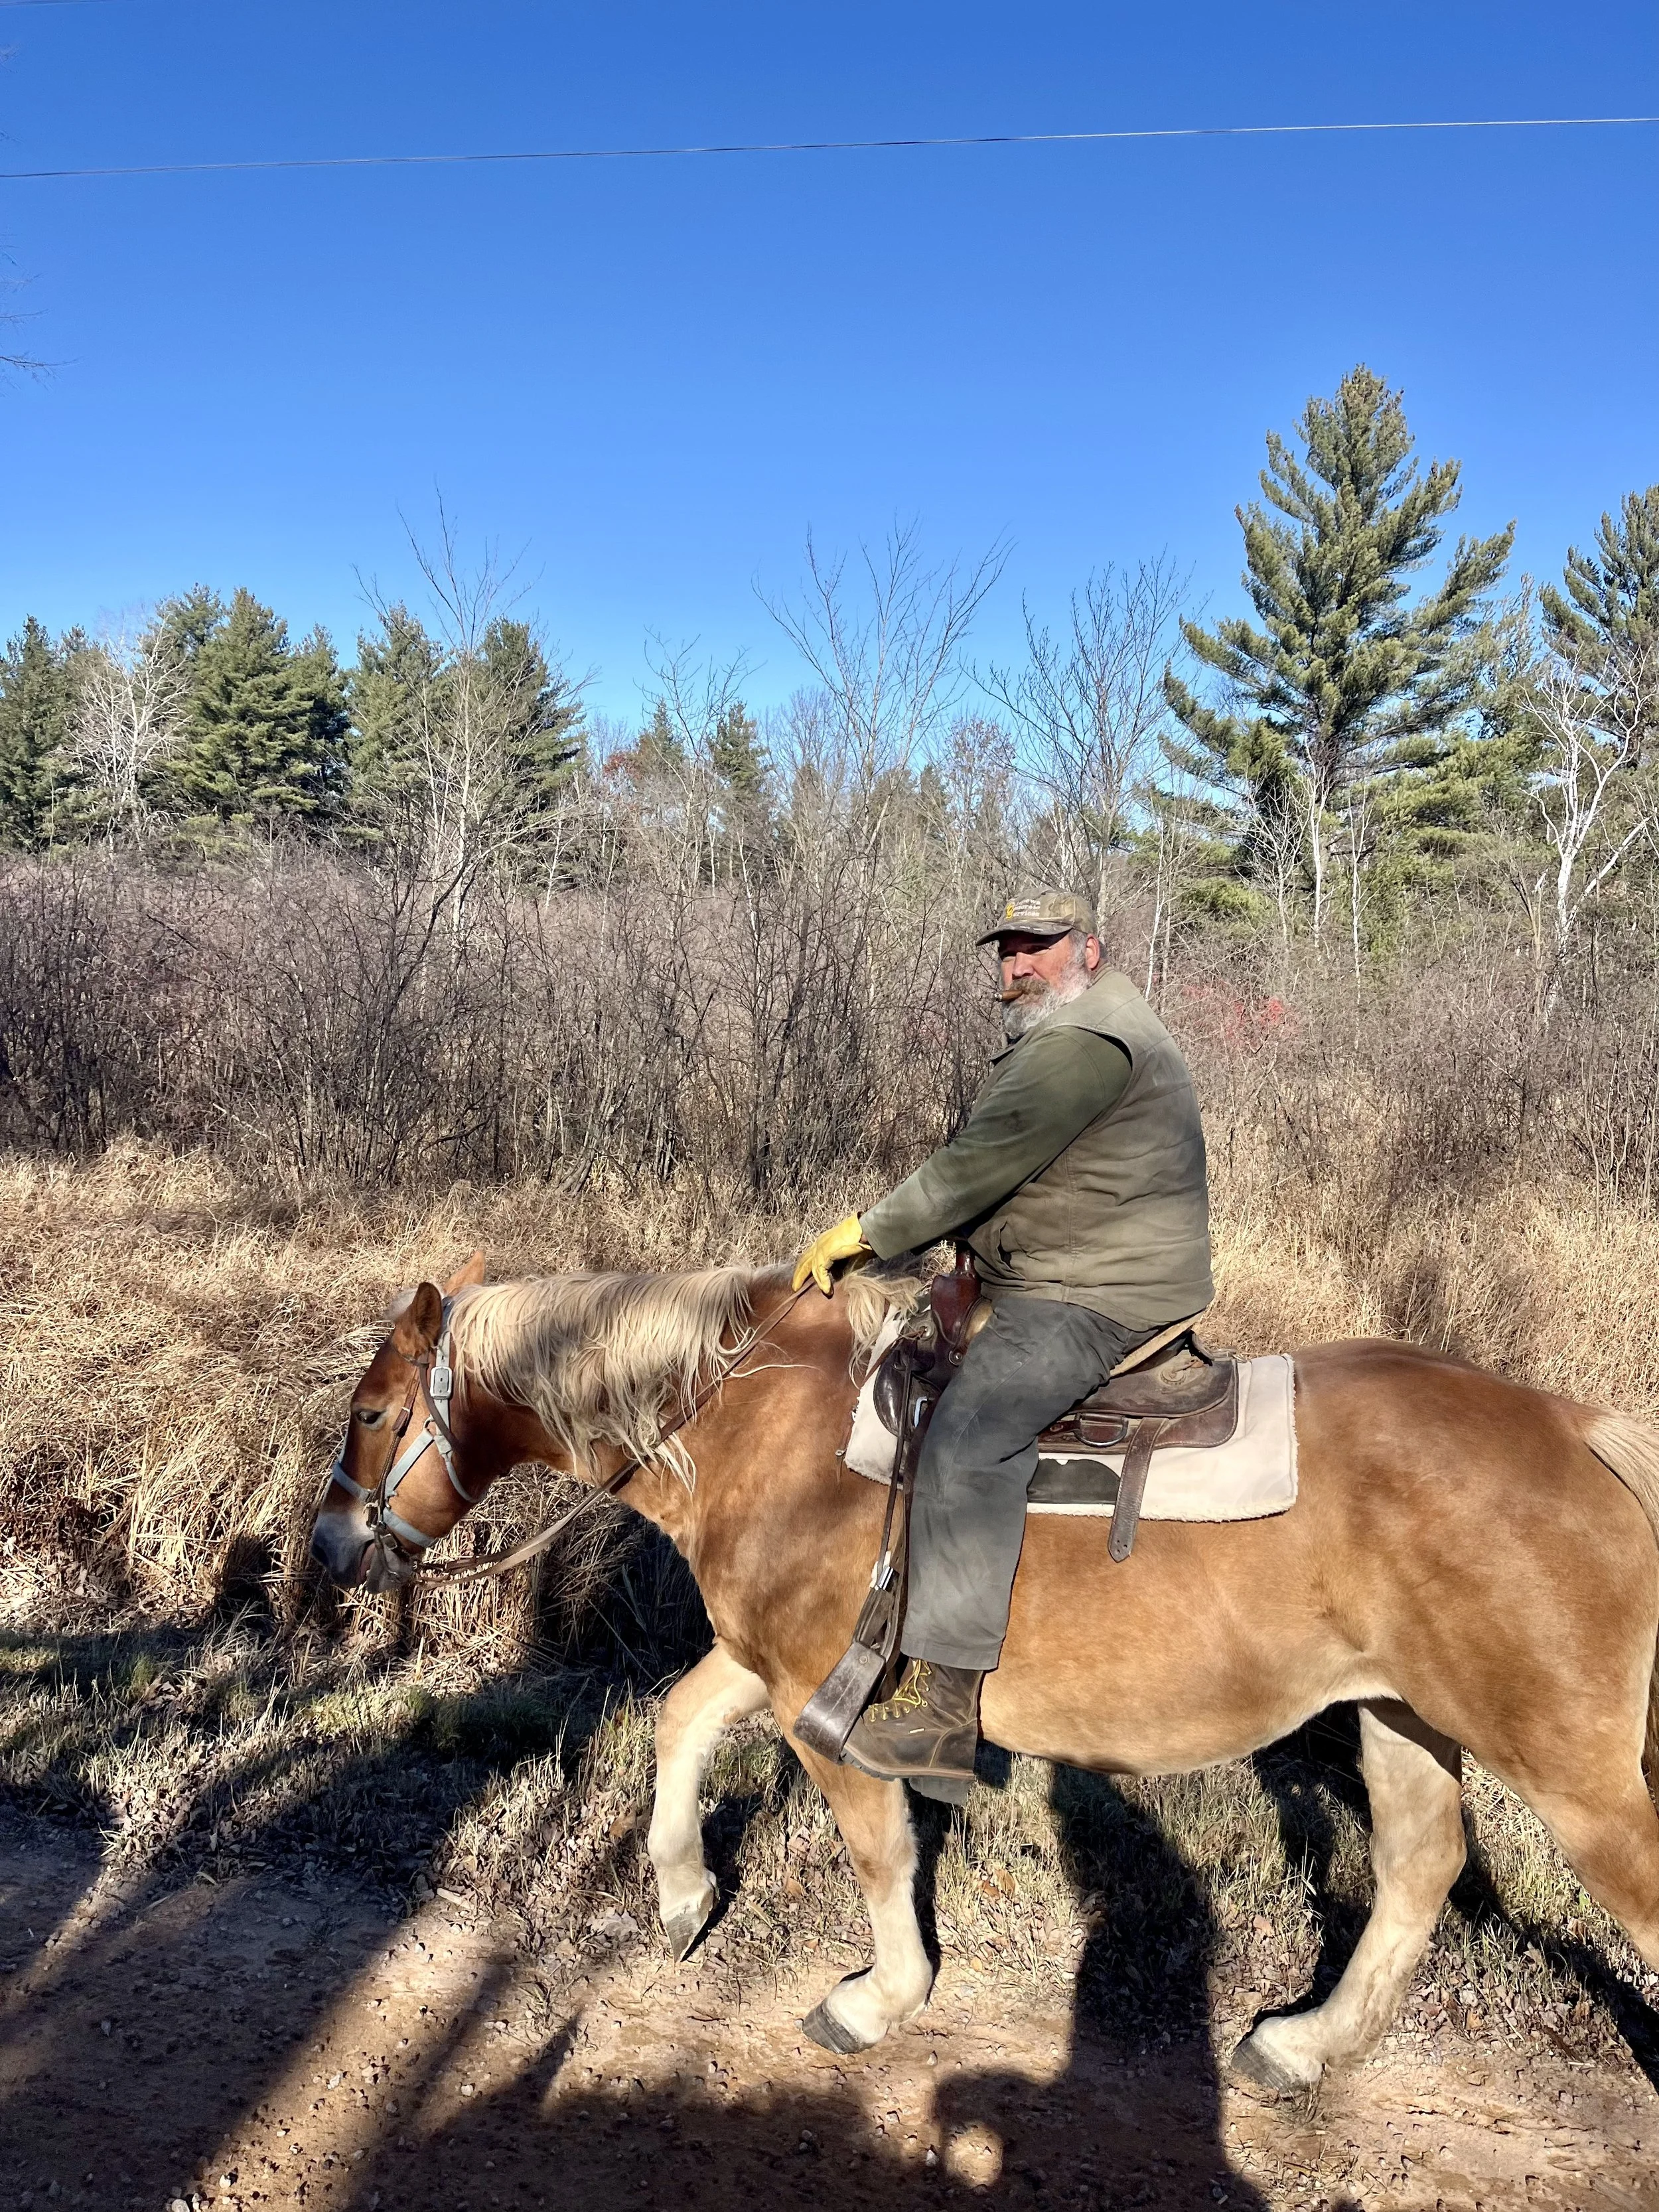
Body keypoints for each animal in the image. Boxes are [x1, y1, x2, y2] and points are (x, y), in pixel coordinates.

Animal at [307, 1252, 1659, 2088]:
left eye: (373, 1413)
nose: (328, 1545)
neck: (756, 1422)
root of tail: (1579, 1429)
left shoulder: (822, 1699)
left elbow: (880, 1849)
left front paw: (879, 1996)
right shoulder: (771, 1661)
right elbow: (679, 1724)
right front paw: (686, 1894)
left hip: (1570, 1769)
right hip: (1399, 1713)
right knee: (1421, 1866)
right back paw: (1307, 2045)